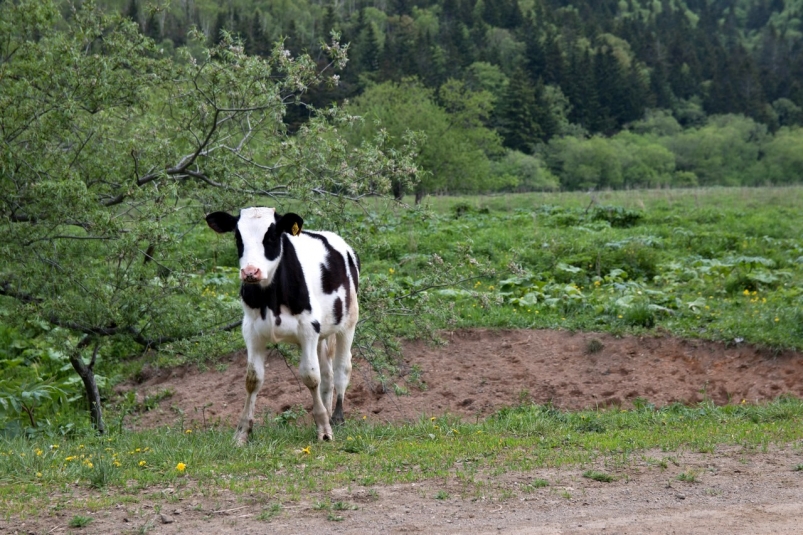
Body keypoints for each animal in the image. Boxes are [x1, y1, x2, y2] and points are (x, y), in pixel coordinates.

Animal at [206, 207, 360, 446]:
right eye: (238, 237)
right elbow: (253, 379)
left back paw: (336, 417)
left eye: (271, 236)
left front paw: (324, 429)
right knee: (327, 373)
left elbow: (310, 376)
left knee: (342, 368)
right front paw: (242, 432)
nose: (250, 271)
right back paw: (327, 410)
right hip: (322, 333)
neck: (271, 299)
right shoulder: (251, 331)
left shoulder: (308, 328)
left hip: (349, 321)